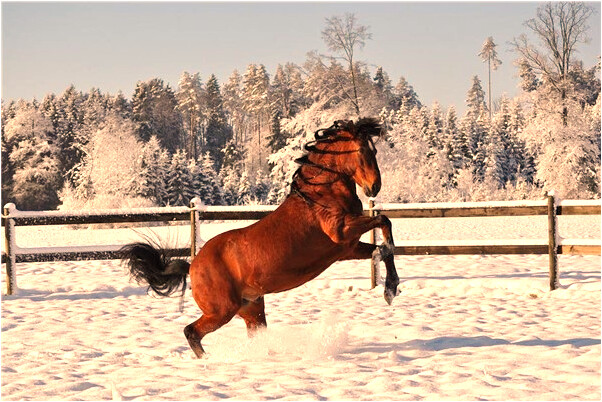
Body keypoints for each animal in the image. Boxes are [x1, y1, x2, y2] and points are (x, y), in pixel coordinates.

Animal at [119, 117, 398, 358]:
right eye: (362, 150)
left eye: (374, 150)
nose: (374, 187)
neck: (320, 195)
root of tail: (193, 266)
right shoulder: (341, 232)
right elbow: (384, 222)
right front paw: (390, 287)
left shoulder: (347, 248)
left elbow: (382, 249)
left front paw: (391, 288)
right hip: (222, 310)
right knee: (191, 332)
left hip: (251, 308)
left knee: (252, 333)